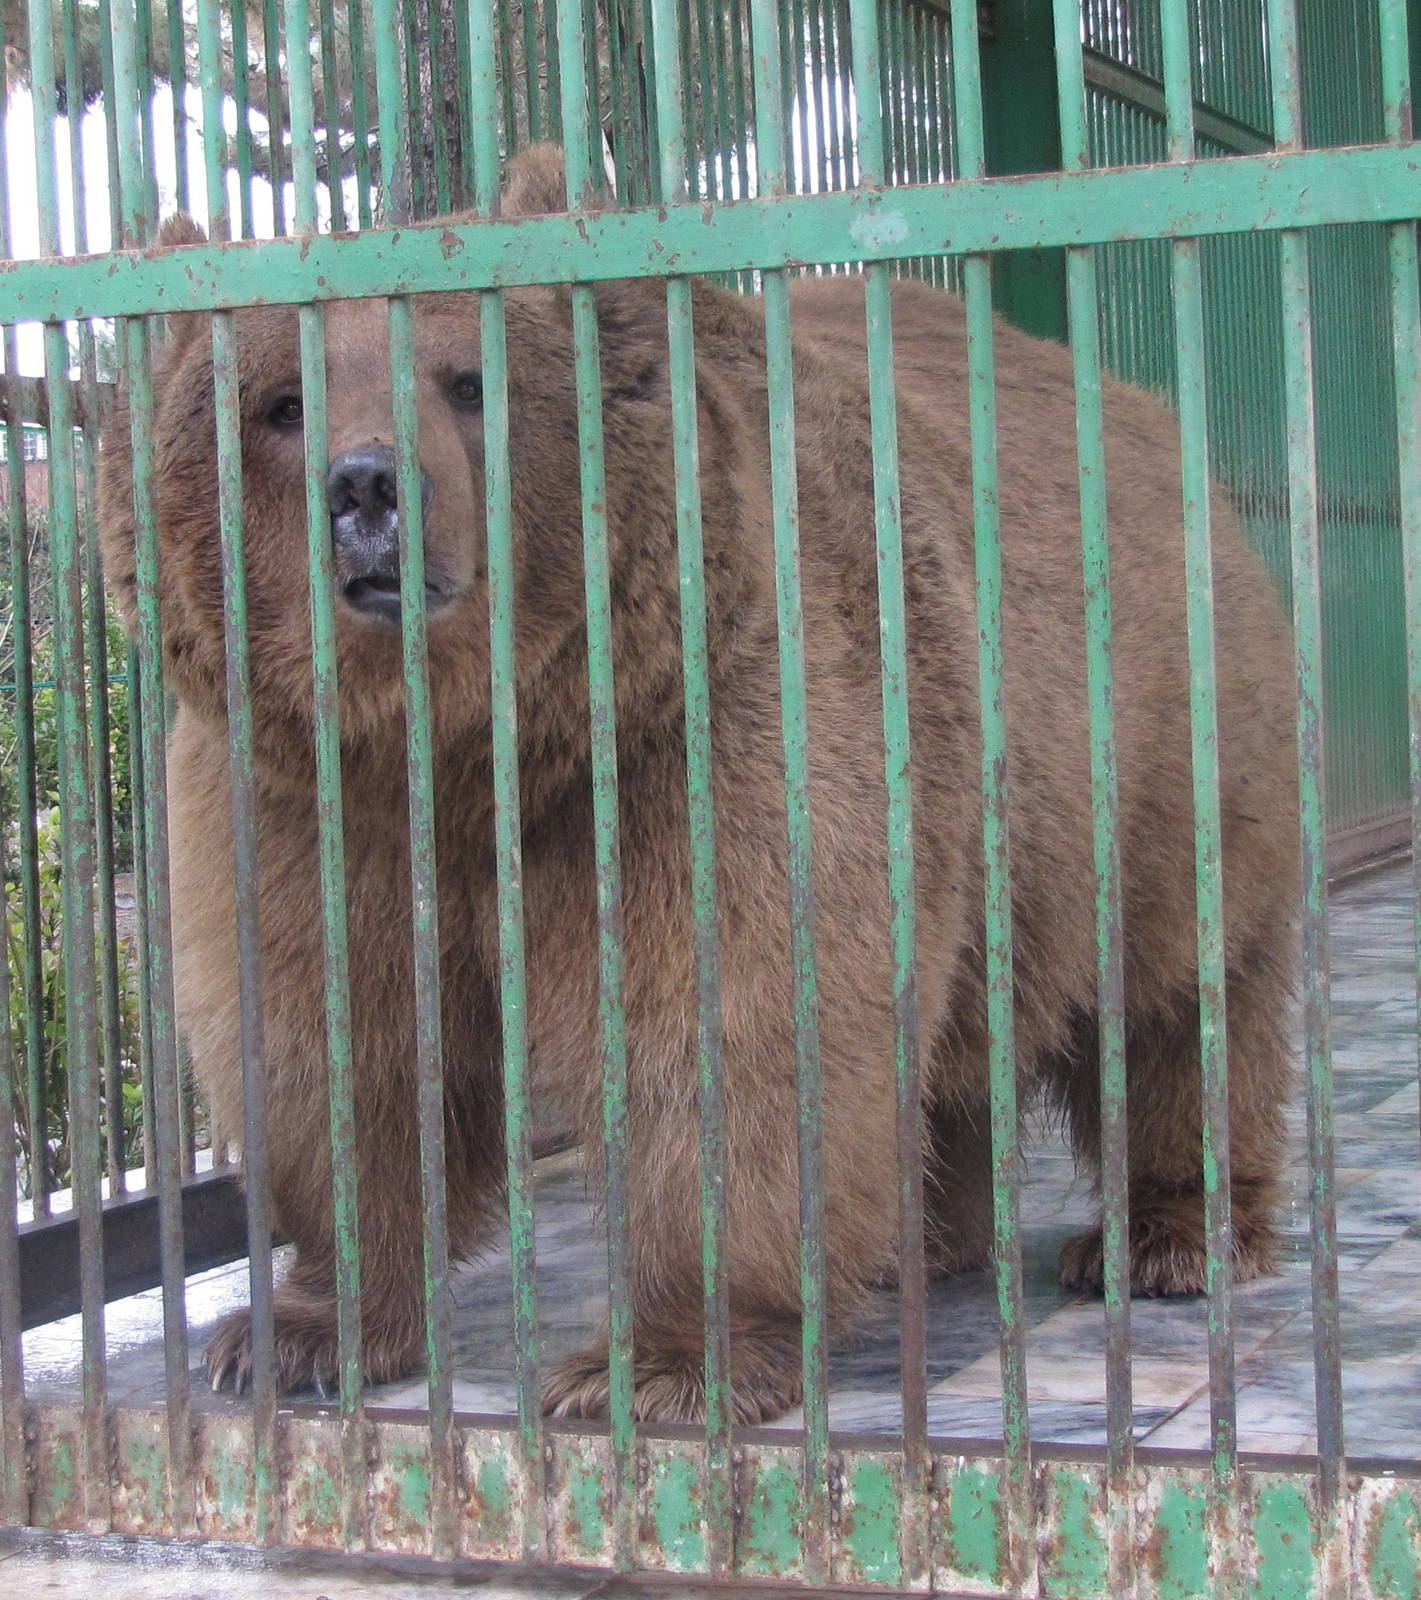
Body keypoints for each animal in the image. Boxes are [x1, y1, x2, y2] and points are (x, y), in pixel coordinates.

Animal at [99, 143, 1297, 1426]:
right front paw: (298, 1330)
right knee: (959, 1026)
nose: (367, 487)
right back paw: (920, 1238)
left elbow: (728, 1023)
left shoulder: (700, 733)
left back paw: (1169, 1234)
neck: (473, 747)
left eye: (468, 381)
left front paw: (666, 1360)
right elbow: (333, 1042)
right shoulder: (301, 800)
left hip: (1154, 736)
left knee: (1180, 991)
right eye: (280, 403)